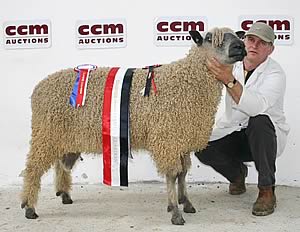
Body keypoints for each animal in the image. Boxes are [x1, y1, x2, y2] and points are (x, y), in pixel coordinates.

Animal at [20, 27, 246, 225]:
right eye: (209, 38)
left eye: (237, 35)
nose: (240, 47)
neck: (187, 82)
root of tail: (38, 88)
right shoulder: (168, 138)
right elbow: (173, 174)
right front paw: (175, 211)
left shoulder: (181, 140)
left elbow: (183, 173)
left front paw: (186, 203)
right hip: (45, 133)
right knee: (33, 168)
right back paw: (29, 206)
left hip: (63, 137)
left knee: (60, 164)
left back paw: (64, 194)